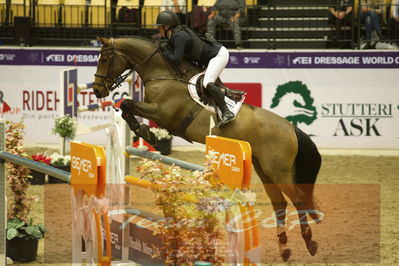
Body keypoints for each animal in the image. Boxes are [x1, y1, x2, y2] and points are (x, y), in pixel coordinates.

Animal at [91, 36, 322, 262]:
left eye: (105, 58)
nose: (97, 90)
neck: (162, 75)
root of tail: (290, 127)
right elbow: (126, 107)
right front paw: (145, 131)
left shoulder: (162, 113)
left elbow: (126, 104)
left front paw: (146, 132)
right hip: (264, 169)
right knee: (279, 203)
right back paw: (284, 248)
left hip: (278, 171)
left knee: (298, 199)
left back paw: (310, 242)